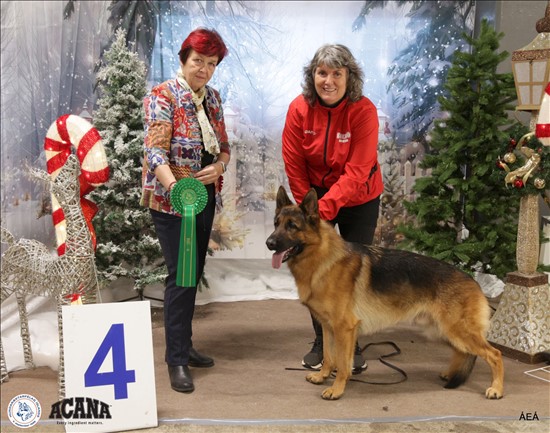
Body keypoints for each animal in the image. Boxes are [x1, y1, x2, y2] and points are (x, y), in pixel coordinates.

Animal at [1, 153, 100, 399]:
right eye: (58, 182)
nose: (72, 155)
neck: (74, 257)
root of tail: (13, 243)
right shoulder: (63, 297)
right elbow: (63, 340)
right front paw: (64, 392)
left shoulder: (90, 292)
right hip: (3, 286)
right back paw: (3, 375)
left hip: (19, 287)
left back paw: (29, 364)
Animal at [266, 186, 504, 400]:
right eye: (276, 224)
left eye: (292, 226)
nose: (269, 243)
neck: (321, 258)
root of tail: (473, 281)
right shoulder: (328, 326)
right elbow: (327, 356)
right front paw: (323, 376)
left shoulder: (344, 329)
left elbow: (342, 363)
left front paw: (337, 389)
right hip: (444, 330)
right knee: (463, 351)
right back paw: (452, 373)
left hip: (456, 330)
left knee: (494, 354)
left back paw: (496, 389)